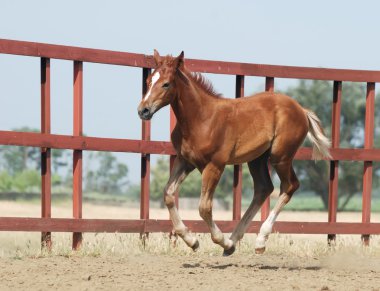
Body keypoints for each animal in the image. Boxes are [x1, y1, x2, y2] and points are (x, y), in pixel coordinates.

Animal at [137, 51, 330, 256]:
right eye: (149, 80)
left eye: (166, 84)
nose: (143, 110)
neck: (201, 119)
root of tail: (301, 109)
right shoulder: (185, 161)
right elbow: (168, 194)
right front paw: (192, 240)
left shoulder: (215, 165)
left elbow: (204, 208)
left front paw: (219, 241)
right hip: (257, 159)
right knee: (264, 188)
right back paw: (235, 240)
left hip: (281, 157)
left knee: (290, 186)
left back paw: (258, 240)